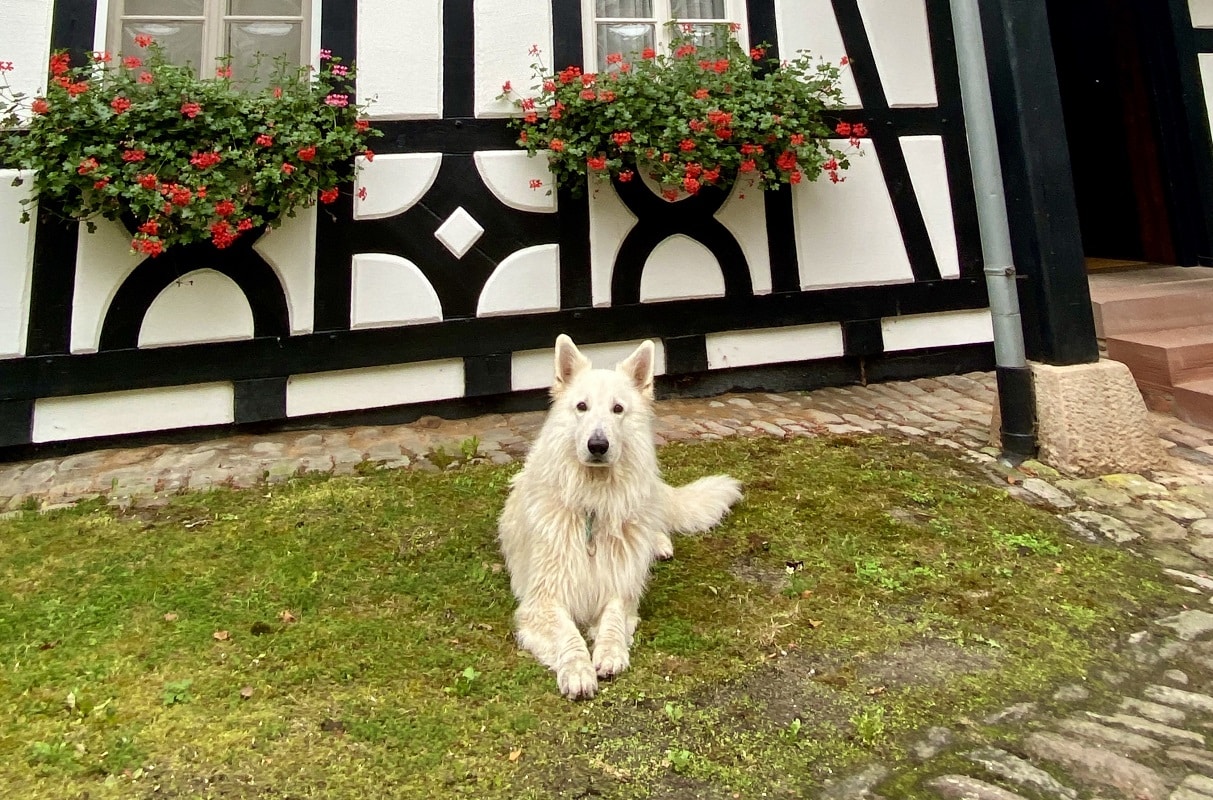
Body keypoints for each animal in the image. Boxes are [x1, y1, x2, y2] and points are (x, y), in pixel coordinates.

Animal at [498, 335, 743, 699]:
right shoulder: (544, 599)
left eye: (618, 409)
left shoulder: (619, 588)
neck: (594, 504)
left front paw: (611, 651)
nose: (598, 445)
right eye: (581, 406)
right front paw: (578, 670)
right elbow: (568, 635)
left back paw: (658, 544)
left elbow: (613, 619)